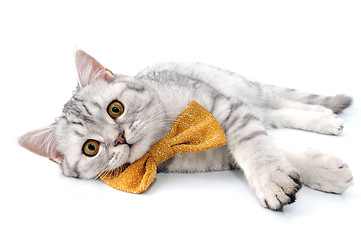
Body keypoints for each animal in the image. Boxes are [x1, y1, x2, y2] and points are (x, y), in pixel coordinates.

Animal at [18, 50, 352, 210]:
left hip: (243, 88)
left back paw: (325, 117)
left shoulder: (225, 107)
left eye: (115, 108)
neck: (165, 137)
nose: (120, 138)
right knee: (272, 114)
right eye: (91, 148)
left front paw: (272, 179)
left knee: (278, 104)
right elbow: (273, 147)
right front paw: (324, 172)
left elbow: (256, 145)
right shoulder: (220, 153)